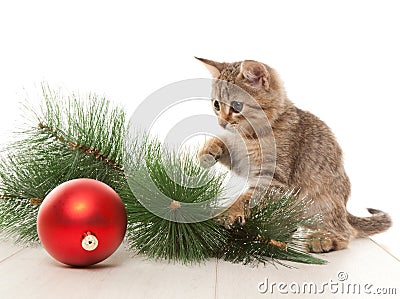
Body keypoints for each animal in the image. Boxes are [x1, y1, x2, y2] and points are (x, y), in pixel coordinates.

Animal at [197, 58, 390, 253]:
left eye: (237, 106)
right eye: (216, 104)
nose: (221, 122)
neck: (250, 135)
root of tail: (344, 208)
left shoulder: (273, 180)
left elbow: (246, 198)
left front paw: (230, 212)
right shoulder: (243, 161)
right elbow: (225, 146)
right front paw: (209, 149)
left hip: (322, 203)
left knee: (346, 232)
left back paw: (324, 239)